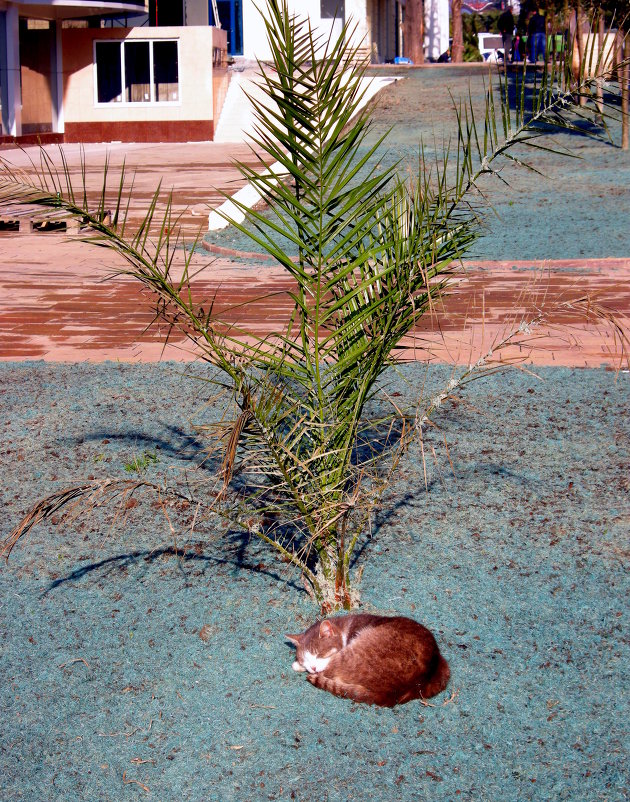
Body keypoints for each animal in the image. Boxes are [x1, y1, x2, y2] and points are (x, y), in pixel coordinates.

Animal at [286, 608, 450, 704]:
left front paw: (298, 666)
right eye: (305, 660)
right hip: (444, 670)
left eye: (320, 654)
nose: (312, 667)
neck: (343, 629)